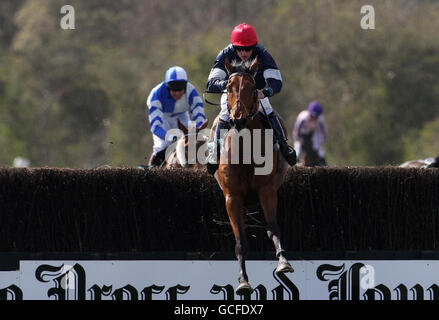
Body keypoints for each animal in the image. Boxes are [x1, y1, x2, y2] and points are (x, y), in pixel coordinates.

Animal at [211, 57, 294, 296]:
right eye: (229, 87)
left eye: (252, 88)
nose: (238, 120)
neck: (245, 150)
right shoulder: (232, 197)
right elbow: (241, 242)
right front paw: (243, 281)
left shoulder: (266, 190)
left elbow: (273, 228)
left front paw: (283, 262)